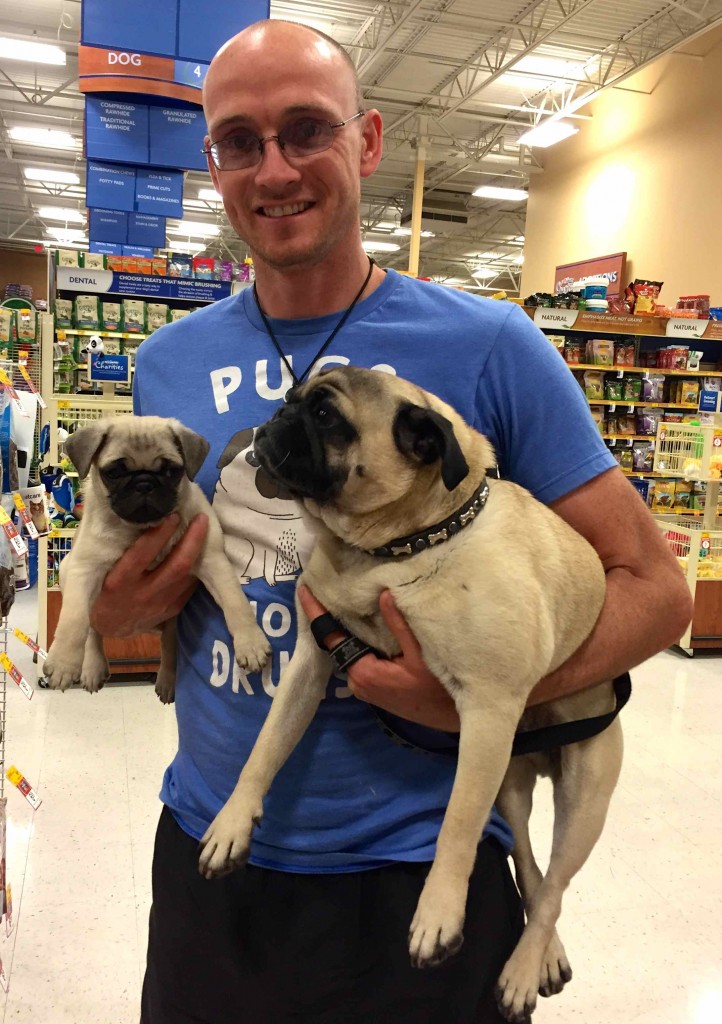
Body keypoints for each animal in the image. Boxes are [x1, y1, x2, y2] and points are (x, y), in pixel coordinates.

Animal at [43, 416, 270, 701]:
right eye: (114, 473)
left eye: (171, 471)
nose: (144, 483)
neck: (140, 529)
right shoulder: (84, 570)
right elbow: (74, 621)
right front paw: (63, 662)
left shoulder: (213, 561)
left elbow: (236, 604)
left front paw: (251, 643)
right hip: (67, 569)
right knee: (93, 631)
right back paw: (93, 667)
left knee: (168, 645)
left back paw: (167, 680)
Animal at [194, 367, 624, 1022]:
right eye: (294, 399)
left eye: (326, 416)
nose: (277, 417)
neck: (396, 548)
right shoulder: (312, 662)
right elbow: (264, 750)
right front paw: (233, 822)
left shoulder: (487, 709)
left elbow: (457, 827)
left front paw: (437, 915)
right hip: (509, 783)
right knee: (529, 862)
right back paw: (543, 954)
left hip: (580, 793)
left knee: (554, 886)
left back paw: (524, 968)